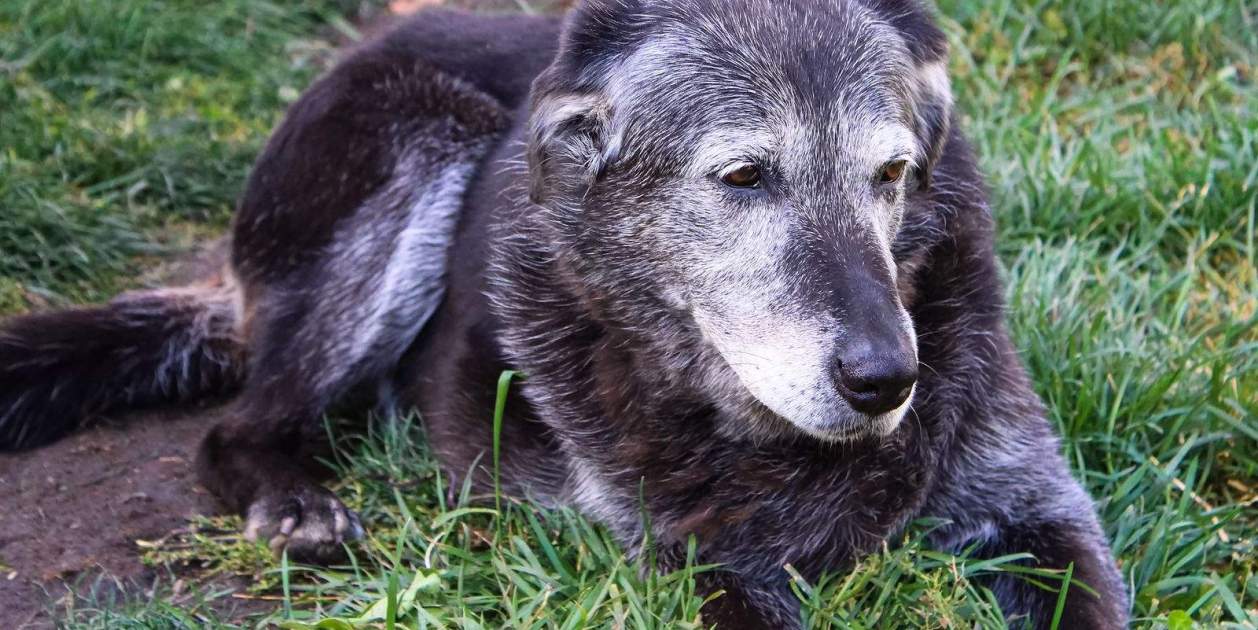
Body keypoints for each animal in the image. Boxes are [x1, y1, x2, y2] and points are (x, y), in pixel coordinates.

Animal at [0, 2, 1137, 626]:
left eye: (893, 175)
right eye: (743, 177)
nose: (886, 380)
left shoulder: (1040, 511)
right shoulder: (698, 567)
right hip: (416, 147)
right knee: (237, 426)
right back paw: (295, 503)